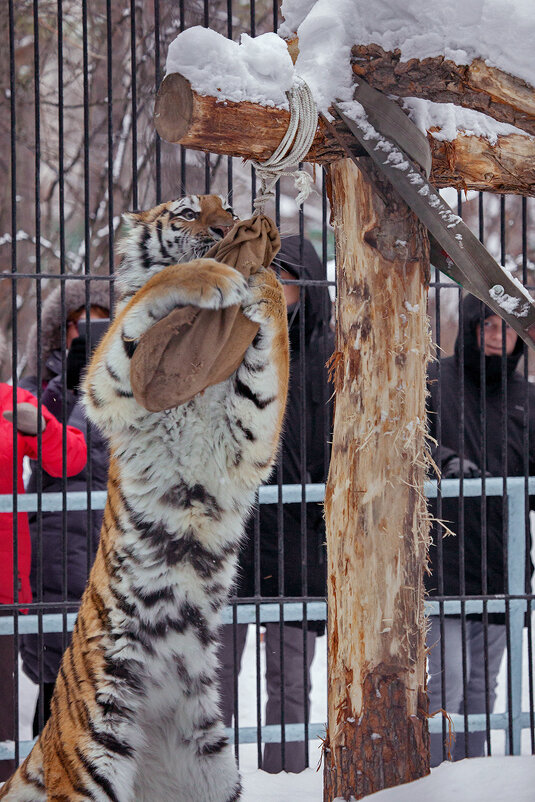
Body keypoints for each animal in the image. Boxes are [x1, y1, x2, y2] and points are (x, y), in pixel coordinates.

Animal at [2, 194, 292, 800]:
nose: (226, 230)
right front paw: (215, 275)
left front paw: (265, 279)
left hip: (211, 768)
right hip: (93, 753)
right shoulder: (111, 389)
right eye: (186, 213)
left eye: (228, 206)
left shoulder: (248, 440)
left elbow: (271, 359)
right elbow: (146, 297)